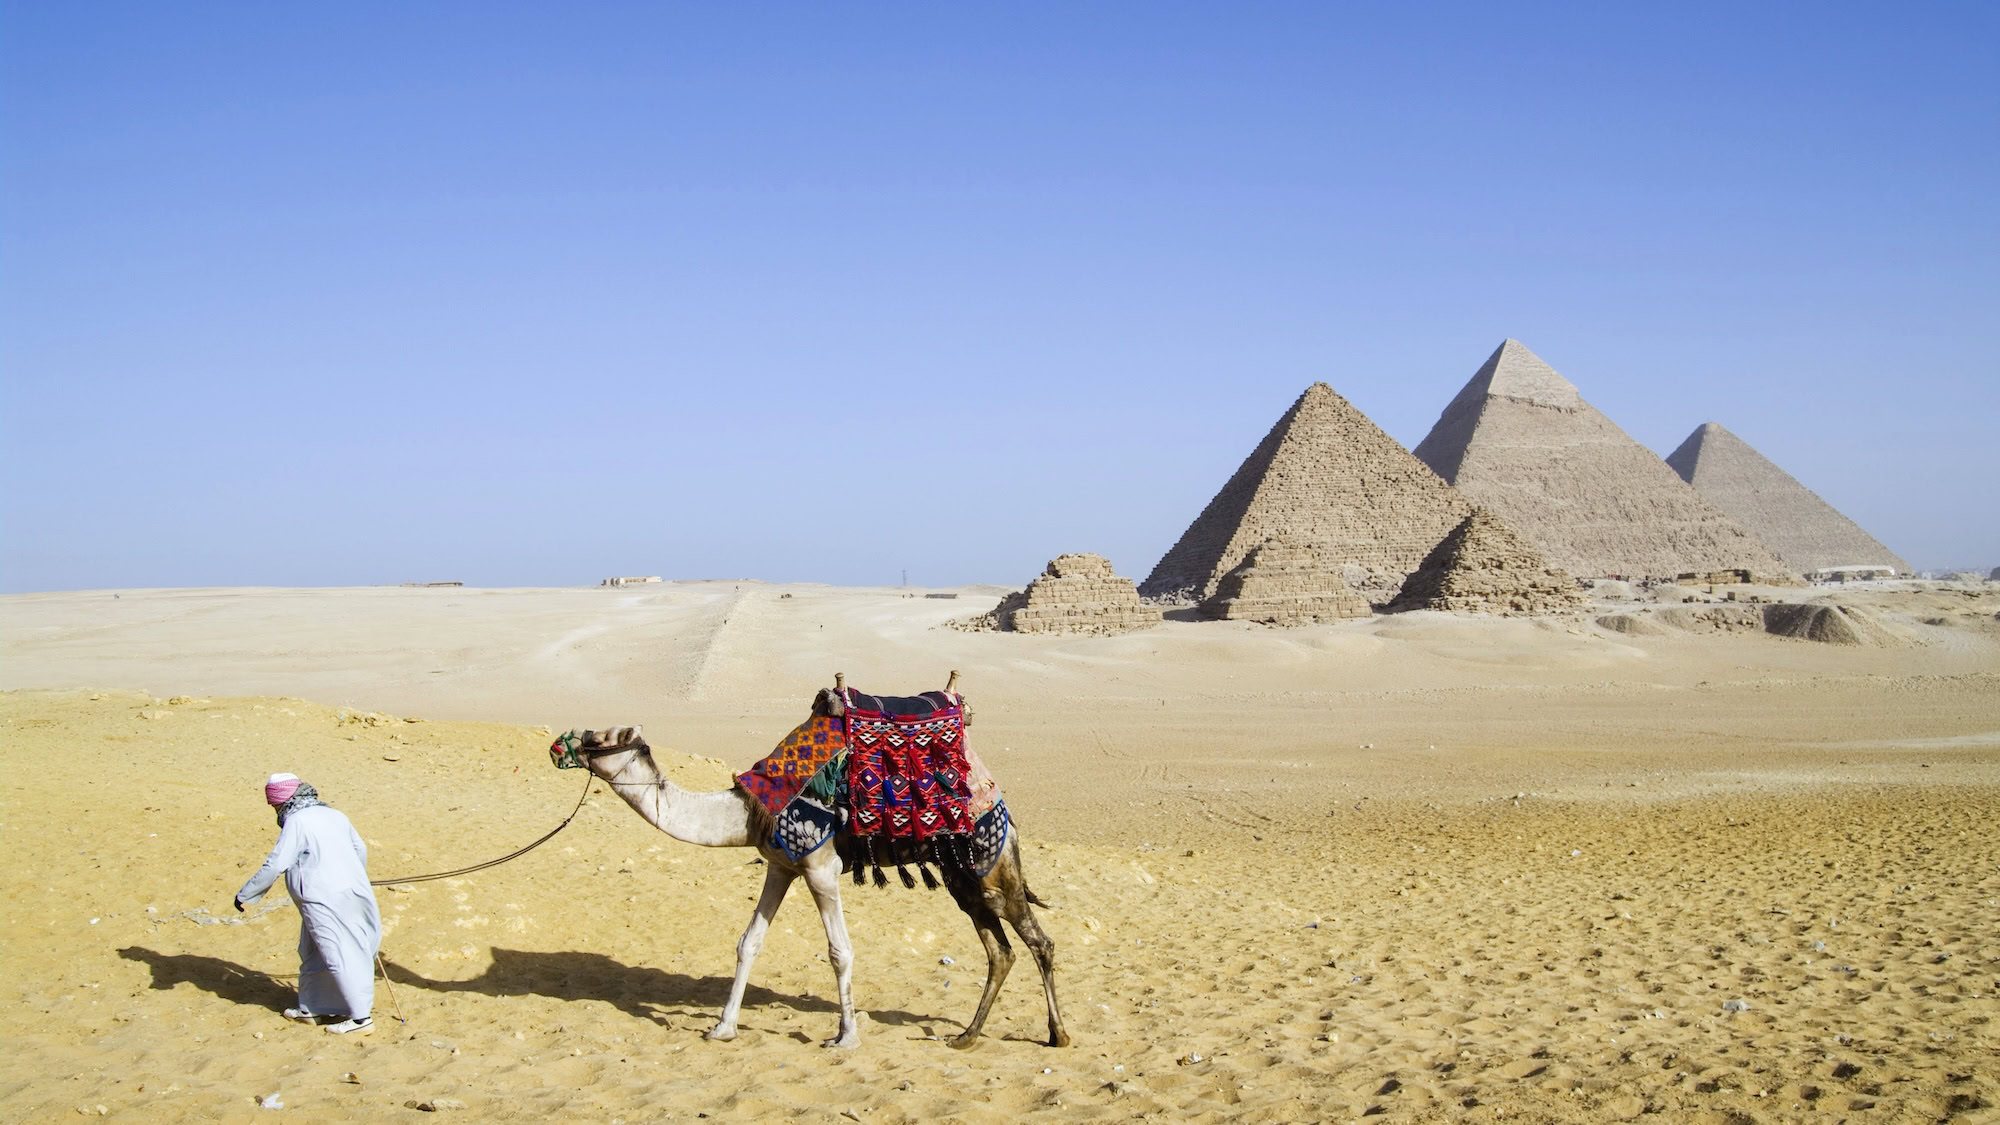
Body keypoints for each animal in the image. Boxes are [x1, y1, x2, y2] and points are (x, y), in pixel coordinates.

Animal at [548, 685, 1068, 1051]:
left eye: (601, 737)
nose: (557, 745)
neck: (752, 810)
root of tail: (998, 799)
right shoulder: (780, 866)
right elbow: (748, 943)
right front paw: (723, 1027)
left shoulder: (820, 867)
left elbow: (840, 951)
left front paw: (846, 1037)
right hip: (963, 877)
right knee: (1000, 951)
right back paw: (966, 1036)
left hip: (992, 861)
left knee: (1037, 941)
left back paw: (1057, 1034)